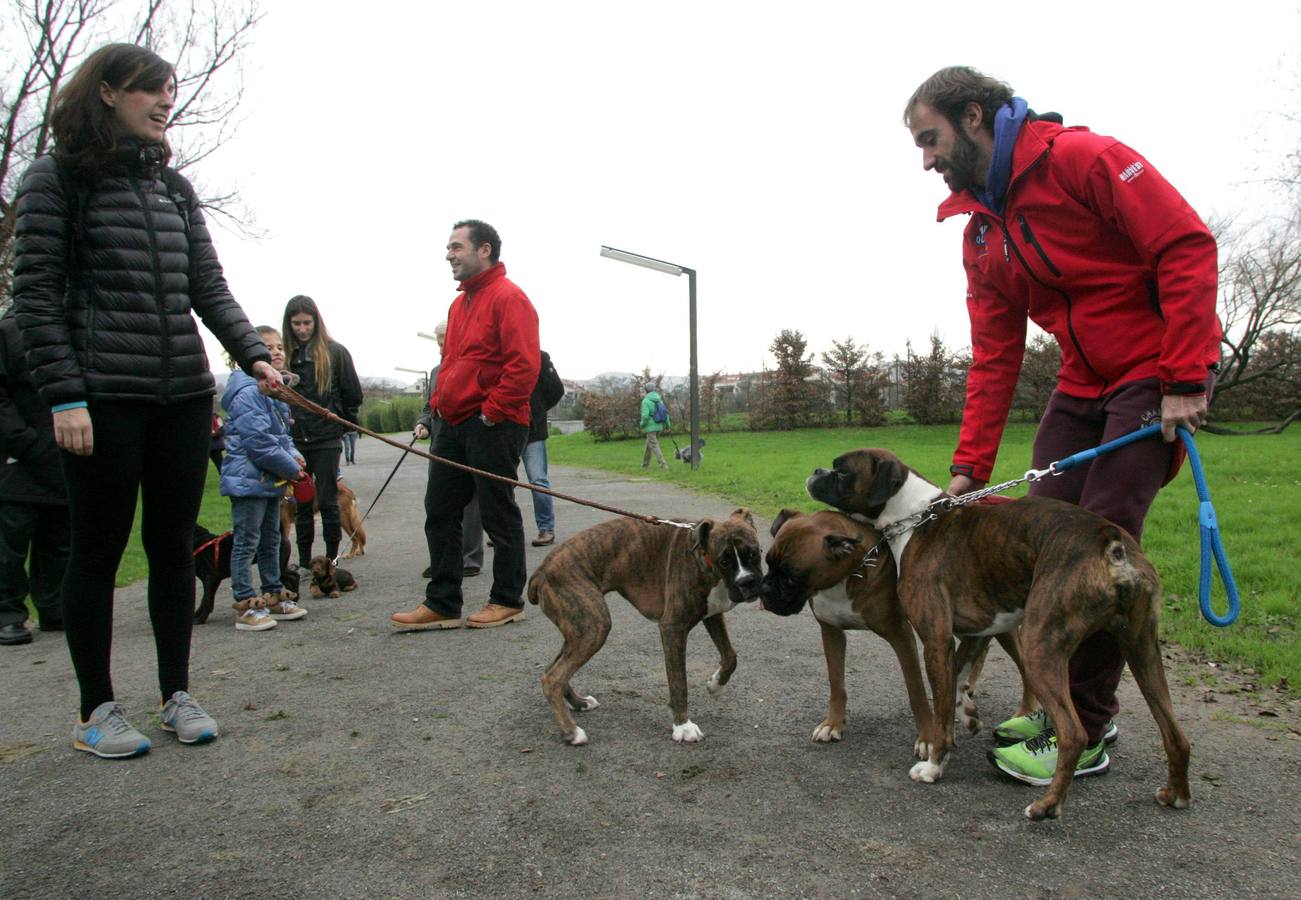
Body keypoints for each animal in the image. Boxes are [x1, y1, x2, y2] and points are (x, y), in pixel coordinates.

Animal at [523, 507, 759, 743]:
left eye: (754, 553)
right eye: (724, 561)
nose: (747, 582)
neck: (705, 559)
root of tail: (540, 572)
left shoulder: (713, 615)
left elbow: (730, 656)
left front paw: (716, 685)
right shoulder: (672, 628)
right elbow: (679, 682)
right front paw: (683, 726)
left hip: (579, 628)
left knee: (552, 669)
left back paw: (579, 703)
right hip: (594, 627)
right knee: (553, 677)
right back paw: (571, 732)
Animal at [759, 509, 1030, 754]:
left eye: (792, 578)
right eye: (768, 563)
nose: (765, 589)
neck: (849, 574)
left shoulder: (901, 636)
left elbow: (916, 691)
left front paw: (928, 738)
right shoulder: (831, 631)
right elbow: (836, 683)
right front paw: (833, 724)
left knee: (1023, 665)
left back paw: (1024, 711)